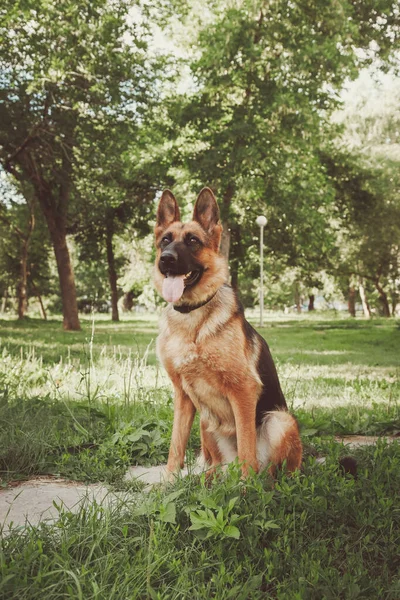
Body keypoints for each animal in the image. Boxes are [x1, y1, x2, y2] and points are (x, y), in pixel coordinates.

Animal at [155, 188, 302, 478]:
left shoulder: (243, 391)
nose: (166, 259)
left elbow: (246, 445)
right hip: (206, 421)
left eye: (192, 241)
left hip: (279, 419)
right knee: (215, 463)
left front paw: (246, 486)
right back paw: (208, 479)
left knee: (271, 470)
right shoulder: (182, 396)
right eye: (165, 240)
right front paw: (168, 481)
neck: (192, 317)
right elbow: (176, 444)